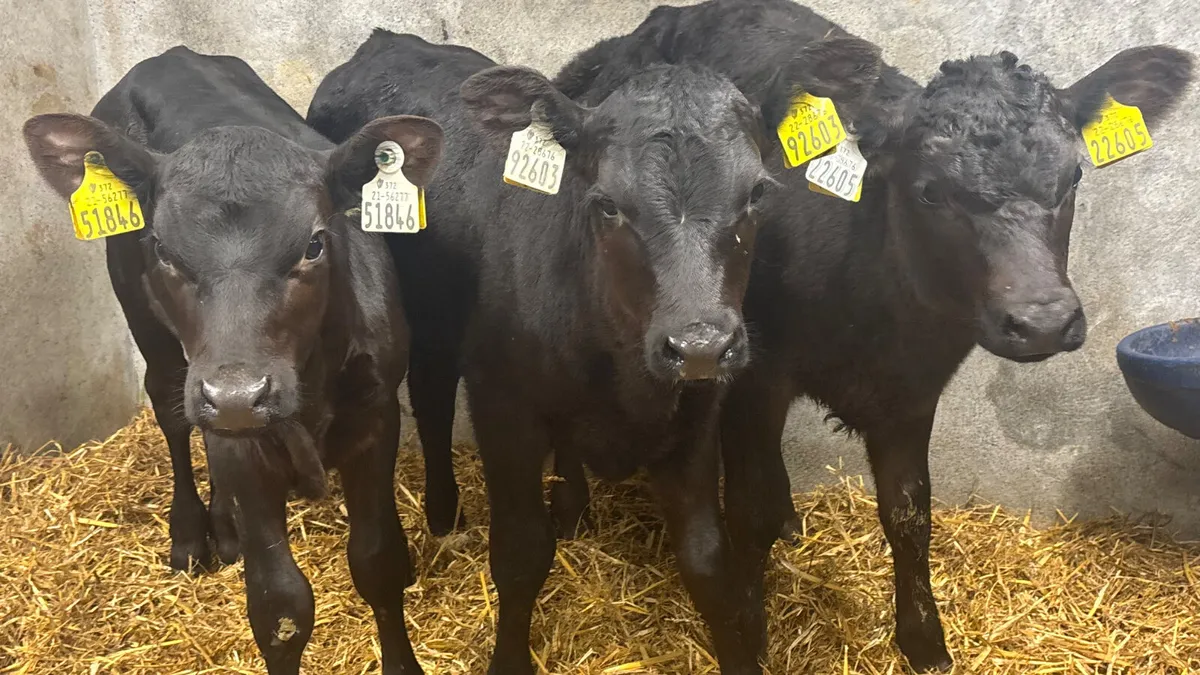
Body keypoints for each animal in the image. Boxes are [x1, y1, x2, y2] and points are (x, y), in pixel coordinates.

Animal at [24, 46, 444, 674]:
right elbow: (279, 606)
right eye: (163, 248)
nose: (239, 395)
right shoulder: (239, 437)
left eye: (315, 243)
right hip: (153, 336)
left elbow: (377, 561)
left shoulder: (375, 413)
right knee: (173, 413)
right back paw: (192, 531)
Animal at [308, 29, 881, 674]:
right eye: (607, 203)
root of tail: (386, 41)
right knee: (431, 400)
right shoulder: (503, 406)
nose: (700, 345)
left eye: (758, 192)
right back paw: (443, 511)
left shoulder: (696, 416)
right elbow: (521, 554)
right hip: (429, 322)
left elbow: (708, 562)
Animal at [551, 0, 1196, 671]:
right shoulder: (756, 373)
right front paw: (751, 620)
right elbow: (749, 510)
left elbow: (909, 512)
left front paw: (925, 641)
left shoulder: (914, 389)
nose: (1042, 319)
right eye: (931, 191)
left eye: (1072, 178)